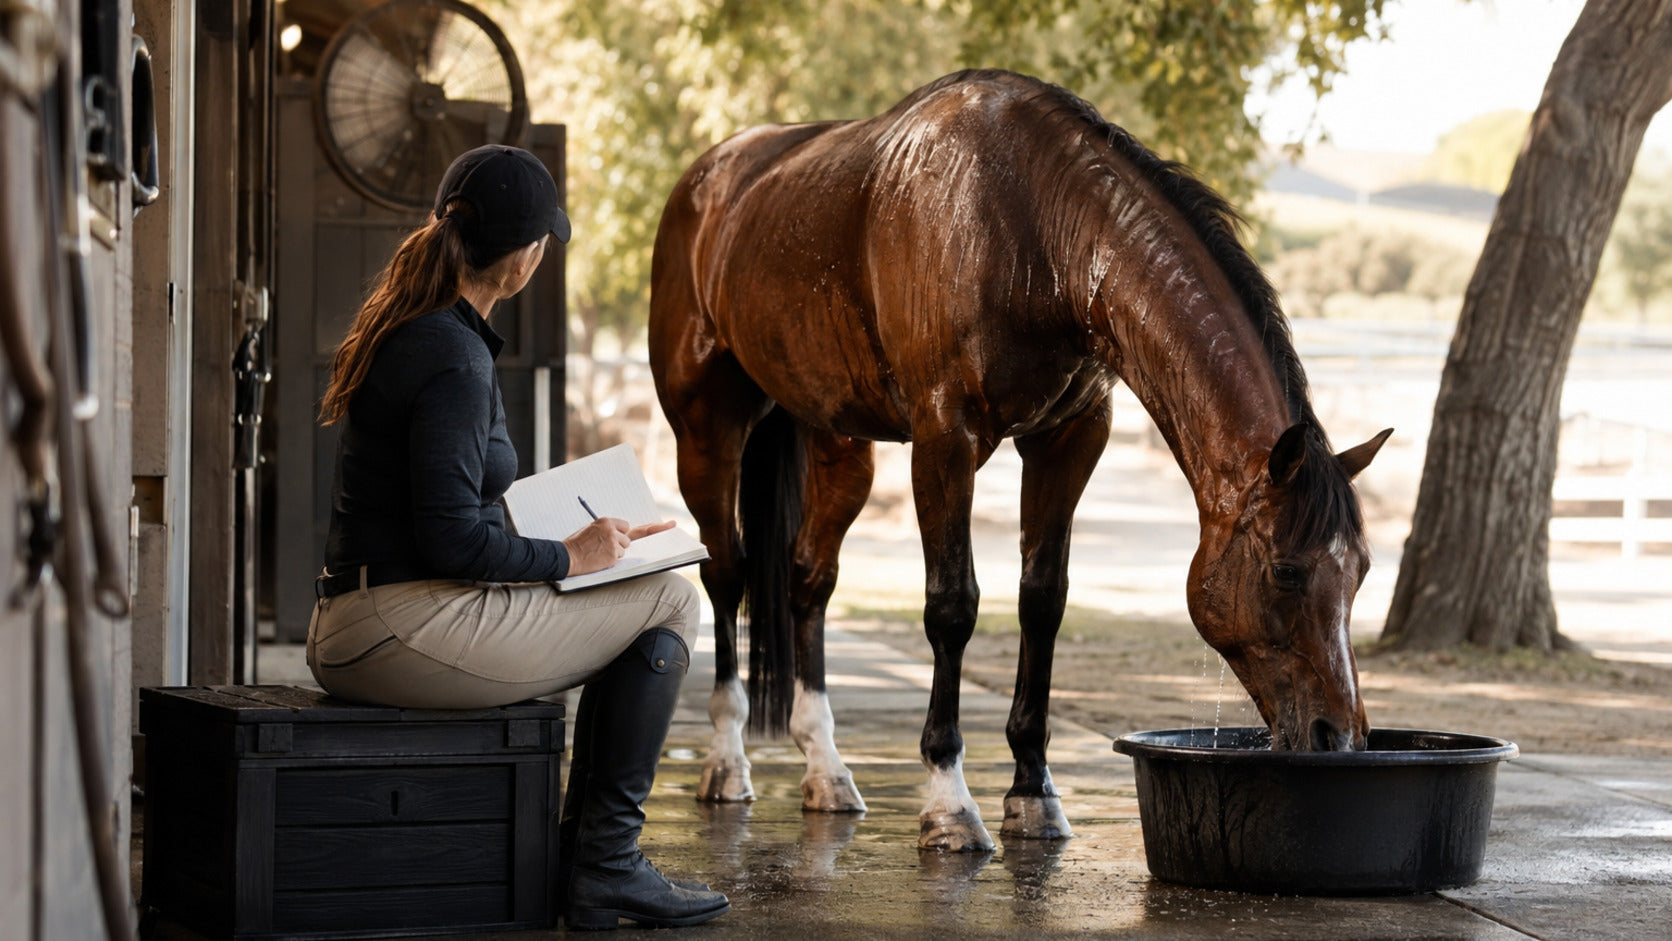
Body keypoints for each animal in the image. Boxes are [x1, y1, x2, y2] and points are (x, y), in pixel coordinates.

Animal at [648, 69, 1391, 852]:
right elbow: (952, 607)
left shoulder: (1070, 438)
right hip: (707, 430)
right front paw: (949, 803)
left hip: (839, 440)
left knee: (808, 580)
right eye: (1285, 572)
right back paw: (727, 764)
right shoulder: (945, 440)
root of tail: (710, 177)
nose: (1338, 736)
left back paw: (827, 773)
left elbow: (1043, 601)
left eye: (1361, 572)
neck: (1034, 227)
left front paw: (1033, 791)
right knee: (726, 574)